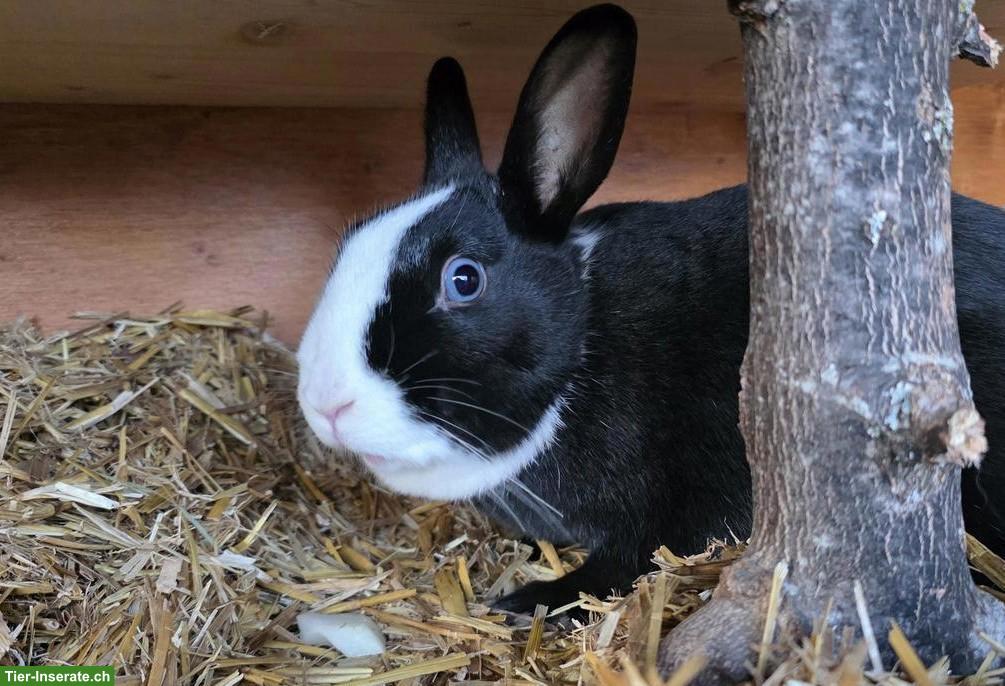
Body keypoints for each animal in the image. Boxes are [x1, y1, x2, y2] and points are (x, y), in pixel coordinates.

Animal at [297, 3, 1005, 614]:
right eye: (349, 243)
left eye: (463, 279)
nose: (326, 403)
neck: (586, 341)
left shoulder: (673, 509)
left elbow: (624, 566)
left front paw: (526, 604)